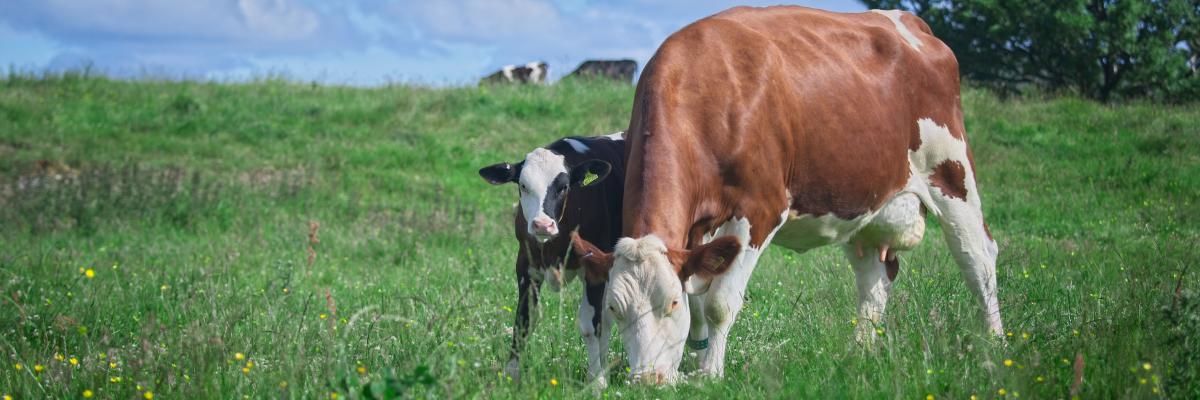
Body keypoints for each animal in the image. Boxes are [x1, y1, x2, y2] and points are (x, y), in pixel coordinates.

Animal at [477, 130, 628, 386]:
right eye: (523, 185)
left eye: (564, 186)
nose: (542, 224)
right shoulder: (526, 266)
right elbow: (523, 321)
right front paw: (511, 375)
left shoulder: (594, 269)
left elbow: (591, 325)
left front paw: (596, 381)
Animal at [571, 4, 1003, 381]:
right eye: (615, 308)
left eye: (670, 304)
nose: (646, 380)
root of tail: (911, 23)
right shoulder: (696, 237)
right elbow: (699, 298)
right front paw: (692, 365)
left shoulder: (759, 211)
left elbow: (717, 304)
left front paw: (710, 375)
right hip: (867, 202)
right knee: (876, 276)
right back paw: (860, 352)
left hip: (952, 173)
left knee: (978, 258)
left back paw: (994, 344)